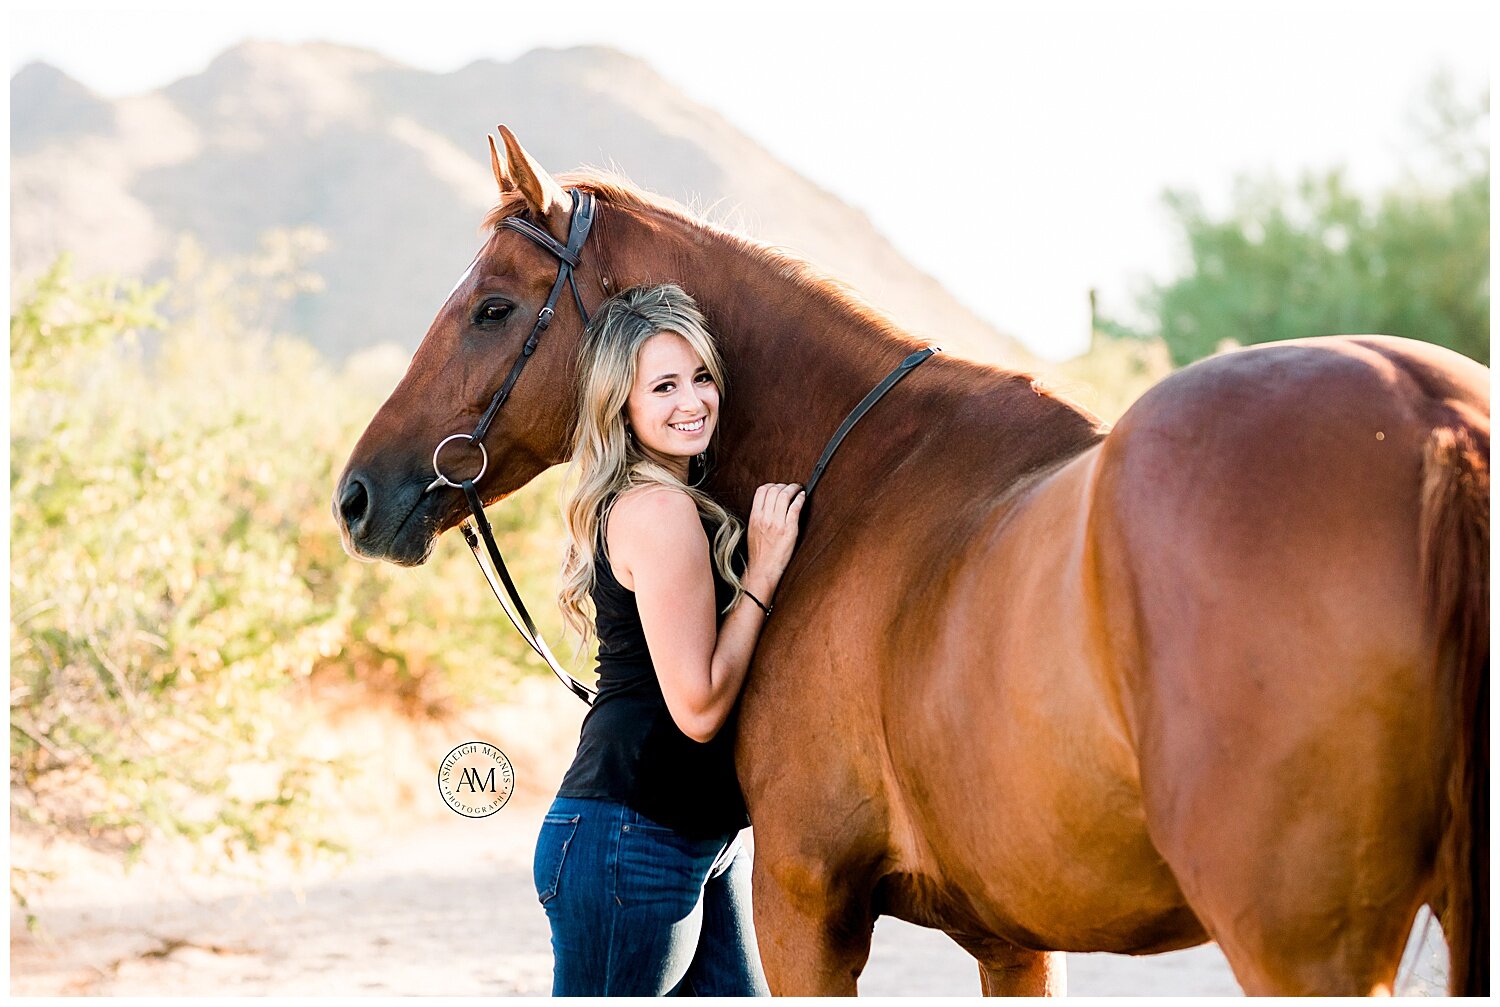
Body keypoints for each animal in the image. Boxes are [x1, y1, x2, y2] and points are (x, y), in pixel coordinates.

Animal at [334, 123, 1494, 990]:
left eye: (492, 308)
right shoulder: (1013, 939)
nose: (357, 495)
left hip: (1300, 945)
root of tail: (1436, 422)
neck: (862, 472)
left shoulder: (805, 903)